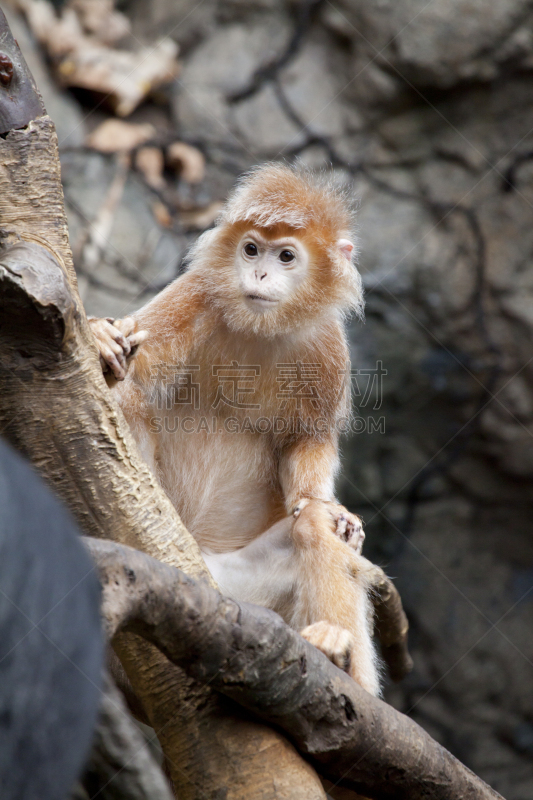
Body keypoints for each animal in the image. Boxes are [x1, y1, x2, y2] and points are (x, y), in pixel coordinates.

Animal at [89, 162, 380, 692]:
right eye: (251, 249)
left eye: (286, 256)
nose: (260, 272)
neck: (261, 328)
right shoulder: (196, 293)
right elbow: (131, 367)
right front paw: (101, 335)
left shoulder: (326, 344)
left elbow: (309, 446)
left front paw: (334, 511)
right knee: (124, 389)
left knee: (311, 525)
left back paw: (338, 655)